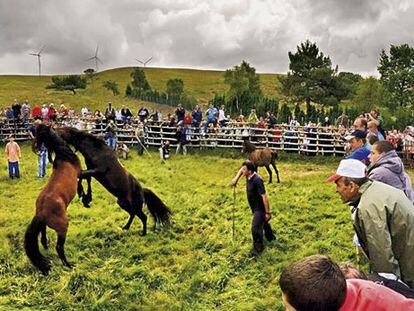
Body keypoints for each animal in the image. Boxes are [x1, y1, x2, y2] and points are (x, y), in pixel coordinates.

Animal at [24, 124, 81, 276]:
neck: (64, 156)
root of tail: (41, 214)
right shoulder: (80, 173)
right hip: (63, 227)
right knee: (59, 247)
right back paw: (68, 265)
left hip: (46, 225)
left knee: (43, 235)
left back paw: (45, 246)